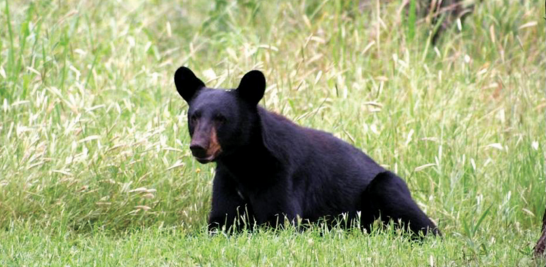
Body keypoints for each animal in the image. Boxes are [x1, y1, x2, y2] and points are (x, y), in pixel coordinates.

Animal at [174, 67, 438, 237]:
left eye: (221, 119)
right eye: (194, 116)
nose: (198, 146)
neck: (244, 161)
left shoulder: (281, 176)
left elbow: (280, 220)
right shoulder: (227, 179)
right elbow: (220, 222)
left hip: (385, 185)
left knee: (424, 225)